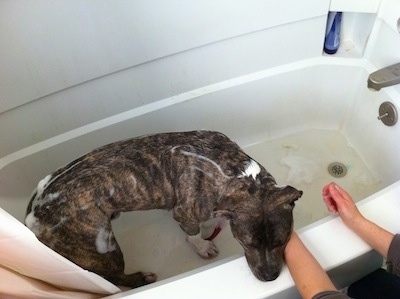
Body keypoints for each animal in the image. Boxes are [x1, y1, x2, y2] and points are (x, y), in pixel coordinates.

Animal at [25, 131, 300, 288]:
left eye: (282, 240)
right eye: (246, 243)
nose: (270, 278)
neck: (234, 173)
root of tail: (32, 214)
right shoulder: (185, 213)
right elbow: (192, 233)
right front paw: (203, 245)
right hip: (103, 249)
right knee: (114, 276)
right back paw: (139, 280)